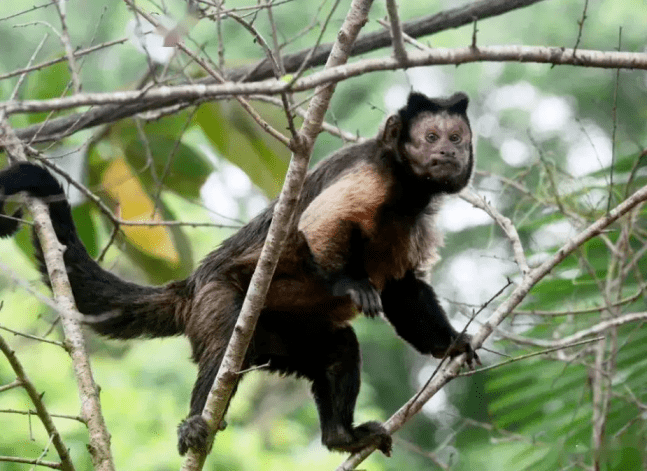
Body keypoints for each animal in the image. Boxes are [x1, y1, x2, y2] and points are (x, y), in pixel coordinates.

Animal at [1, 91, 480, 458]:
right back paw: (195, 425)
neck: (407, 190)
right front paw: (352, 283)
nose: (448, 151)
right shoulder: (369, 174)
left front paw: (452, 344)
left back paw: (341, 437)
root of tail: (191, 284)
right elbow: (316, 229)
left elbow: (403, 289)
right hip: (213, 298)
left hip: (281, 338)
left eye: (456, 137)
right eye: (432, 136)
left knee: (338, 347)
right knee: (221, 343)